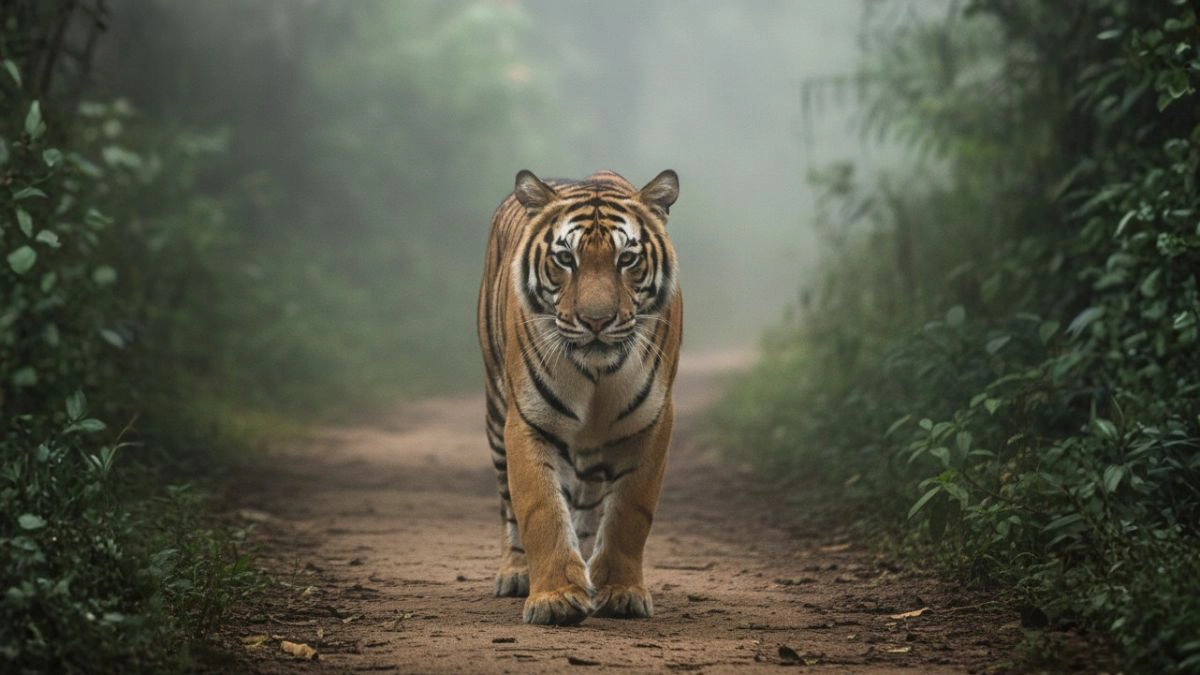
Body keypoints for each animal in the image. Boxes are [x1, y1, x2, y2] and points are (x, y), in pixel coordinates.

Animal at [476, 168, 683, 625]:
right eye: (565, 259)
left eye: (627, 259)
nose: (596, 321)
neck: (597, 374)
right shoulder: (528, 419)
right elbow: (541, 508)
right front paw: (555, 598)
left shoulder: (651, 422)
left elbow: (629, 512)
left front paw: (621, 592)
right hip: (496, 409)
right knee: (508, 503)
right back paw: (516, 573)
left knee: (589, 503)